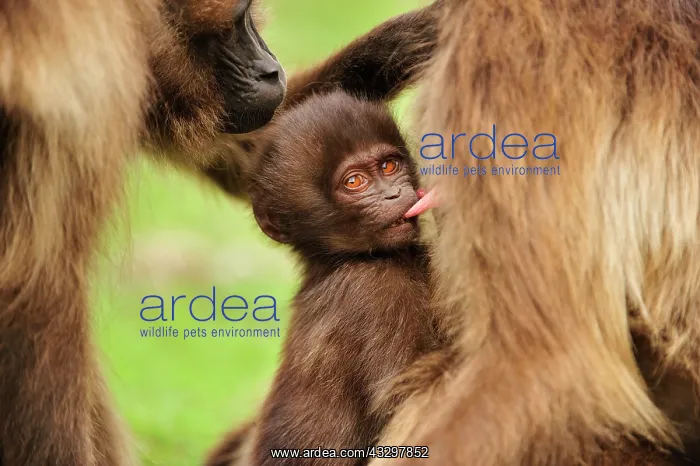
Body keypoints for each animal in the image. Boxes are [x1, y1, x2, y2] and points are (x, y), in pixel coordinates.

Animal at [214, 90, 443, 466]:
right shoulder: (374, 289)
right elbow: (405, 400)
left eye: (389, 166)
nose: (395, 195)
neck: (335, 262)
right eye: (354, 182)